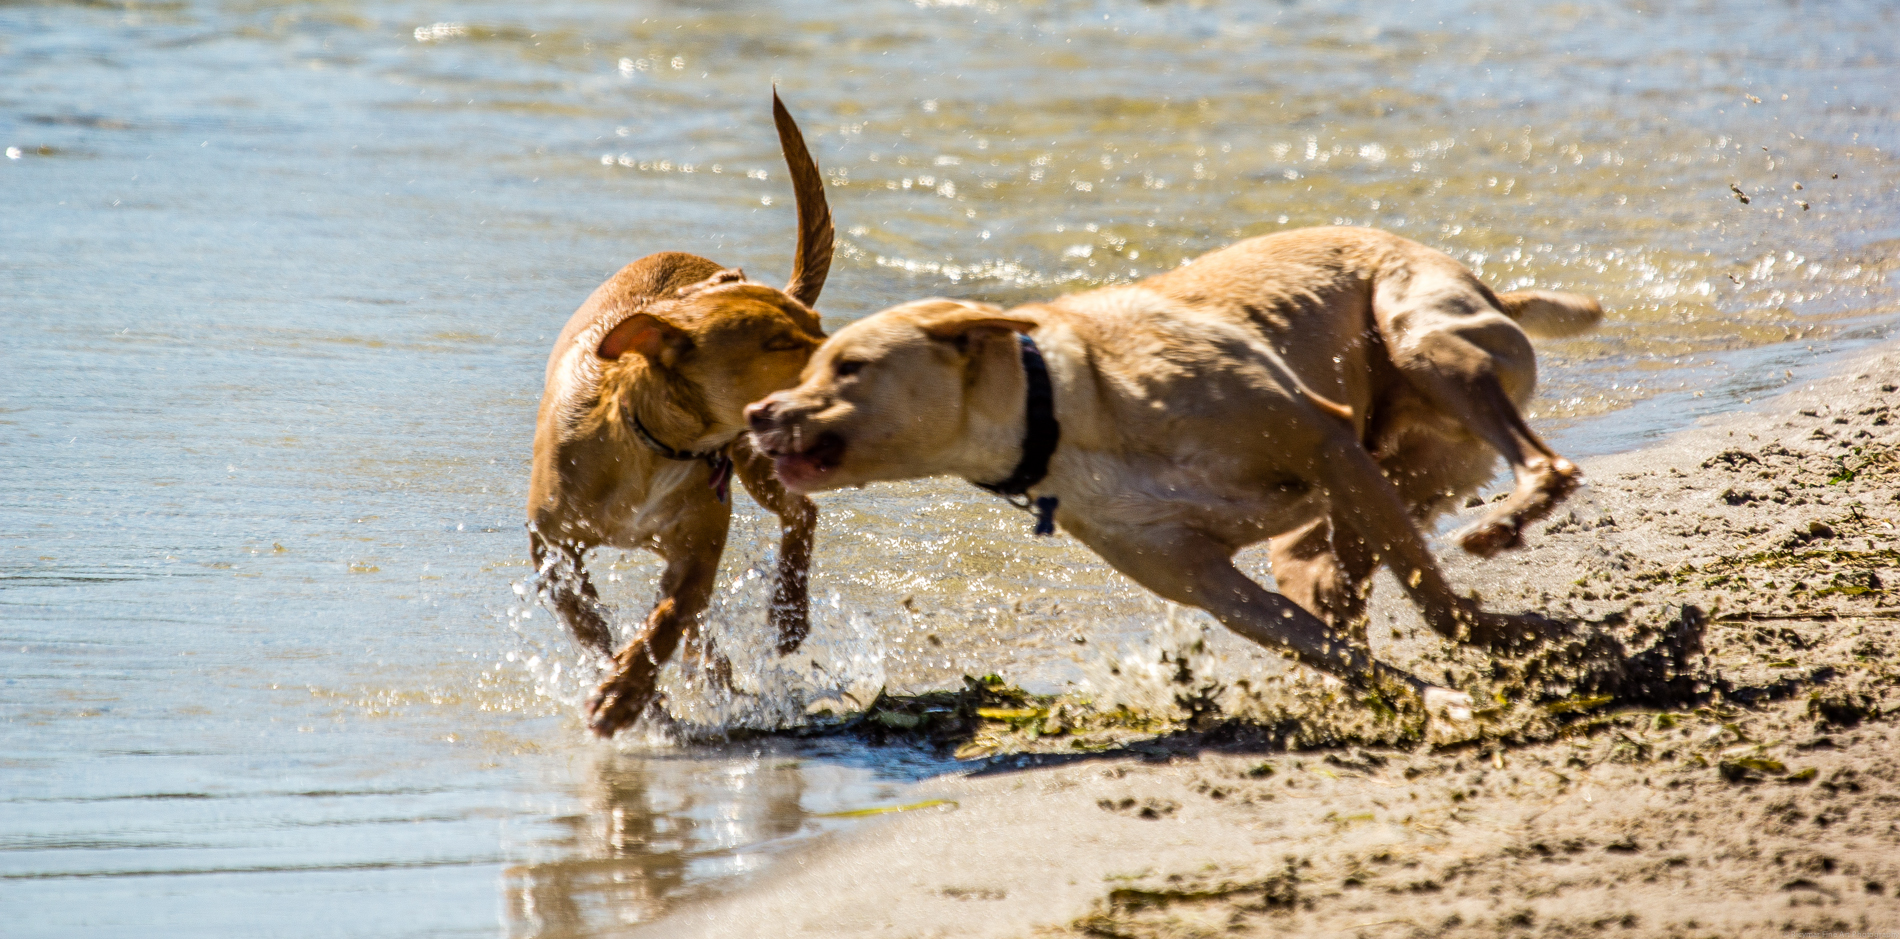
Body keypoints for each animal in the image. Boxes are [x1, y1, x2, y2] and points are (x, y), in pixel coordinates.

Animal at [532, 97, 836, 741]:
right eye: (778, 343)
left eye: (818, 326)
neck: (652, 444)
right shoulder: (553, 550)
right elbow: (597, 630)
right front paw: (638, 699)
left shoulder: (697, 551)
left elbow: (666, 622)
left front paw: (625, 694)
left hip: (756, 462)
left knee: (801, 512)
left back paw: (788, 615)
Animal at [748, 225, 1596, 710]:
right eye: (809, 366)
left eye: (848, 366)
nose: (758, 412)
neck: (1061, 409)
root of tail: (1494, 290)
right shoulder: (1203, 578)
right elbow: (1326, 640)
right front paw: (1417, 695)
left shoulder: (1322, 441)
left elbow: (1433, 601)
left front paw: (1491, 647)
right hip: (1355, 505)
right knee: (1336, 582)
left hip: (1421, 342)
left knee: (1538, 458)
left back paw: (1509, 520)